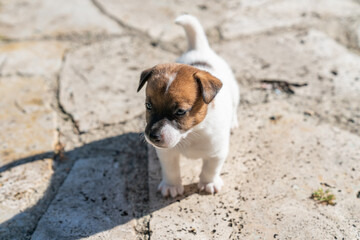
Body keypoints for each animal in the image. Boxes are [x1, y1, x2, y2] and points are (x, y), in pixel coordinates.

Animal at [137, 14, 239, 197]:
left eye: (180, 112)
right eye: (148, 105)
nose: (152, 136)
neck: (192, 133)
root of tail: (199, 49)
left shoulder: (217, 152)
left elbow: (210, 169)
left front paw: (208, 183)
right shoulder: (167, 153)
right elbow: (171, 170)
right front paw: (171, 186)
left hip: (235, 91)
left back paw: (233, 122)